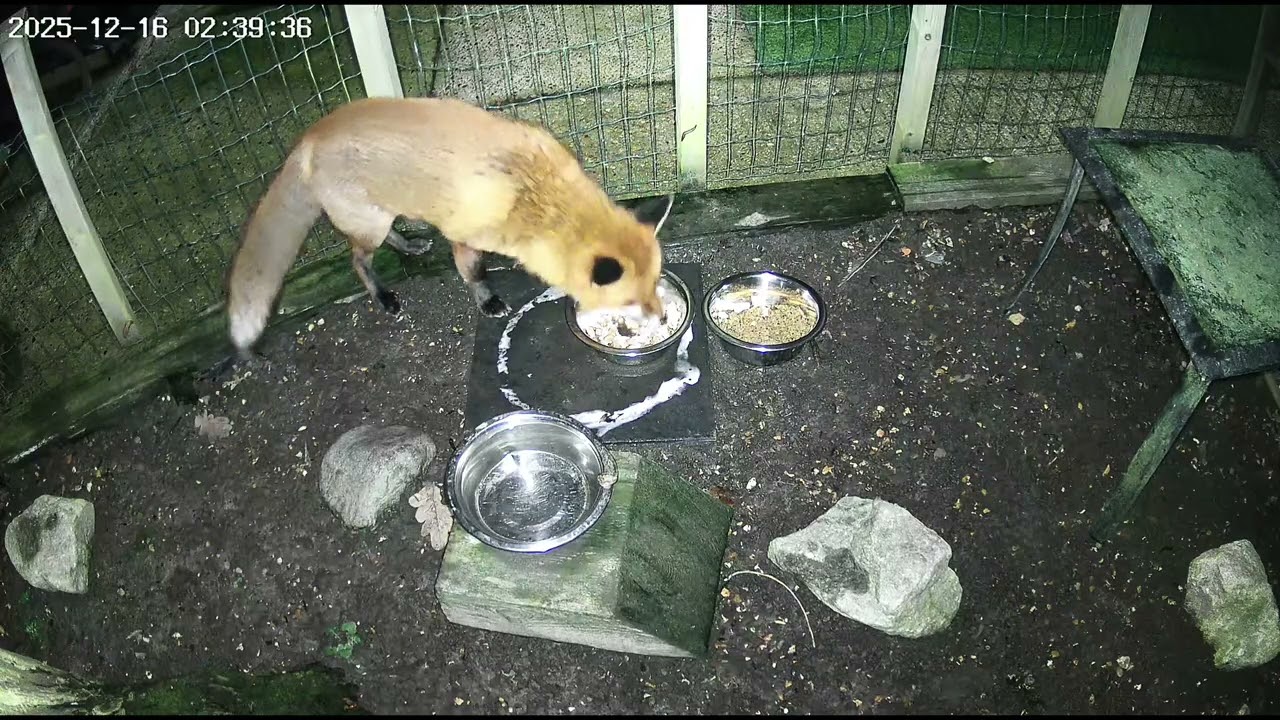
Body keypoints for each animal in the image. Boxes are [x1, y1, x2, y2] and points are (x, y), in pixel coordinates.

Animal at [224, 96, 675, 360]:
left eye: (655, 285)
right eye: (629, 301)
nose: (663, 319)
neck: (533, 194)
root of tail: (310, 136)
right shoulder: (465, 237)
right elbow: (473, 273)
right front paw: (487, 301)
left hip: (385, 213)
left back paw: (411, 246)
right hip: (370, 223)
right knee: (357, 259)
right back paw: (383, 295)